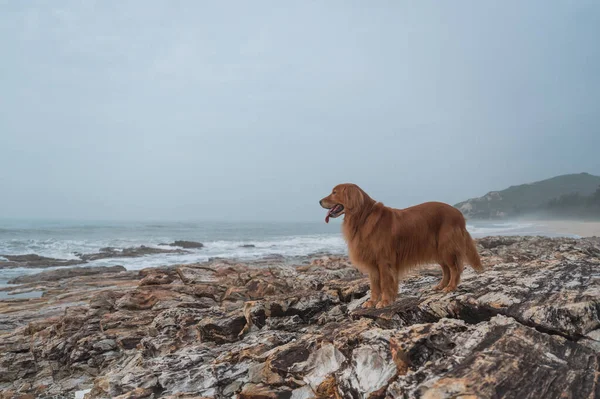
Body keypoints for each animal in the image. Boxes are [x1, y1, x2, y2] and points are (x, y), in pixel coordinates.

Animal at [318, 184, 482, 310]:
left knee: (454, 268)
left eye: (334, 192)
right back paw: (441, 285)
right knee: (446, 269)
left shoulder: (384, 261)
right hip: (436, 249)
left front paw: (384, 301)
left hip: (446, 247)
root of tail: (459, 214)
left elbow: (385, 283)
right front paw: (372, 301)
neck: (363, 217)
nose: (319, 201)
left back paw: (451, 286)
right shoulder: (373, 263)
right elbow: (374, 285)